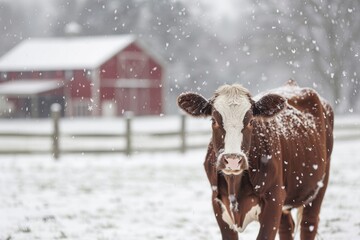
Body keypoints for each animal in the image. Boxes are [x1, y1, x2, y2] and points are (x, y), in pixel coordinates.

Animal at [178, 81, 334, 240]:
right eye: (213, 120)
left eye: (251, 121)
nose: (233, 160)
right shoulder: (218, 202)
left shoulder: (273, 200)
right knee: (287, 227)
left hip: (319, 186)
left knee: (309, 224)